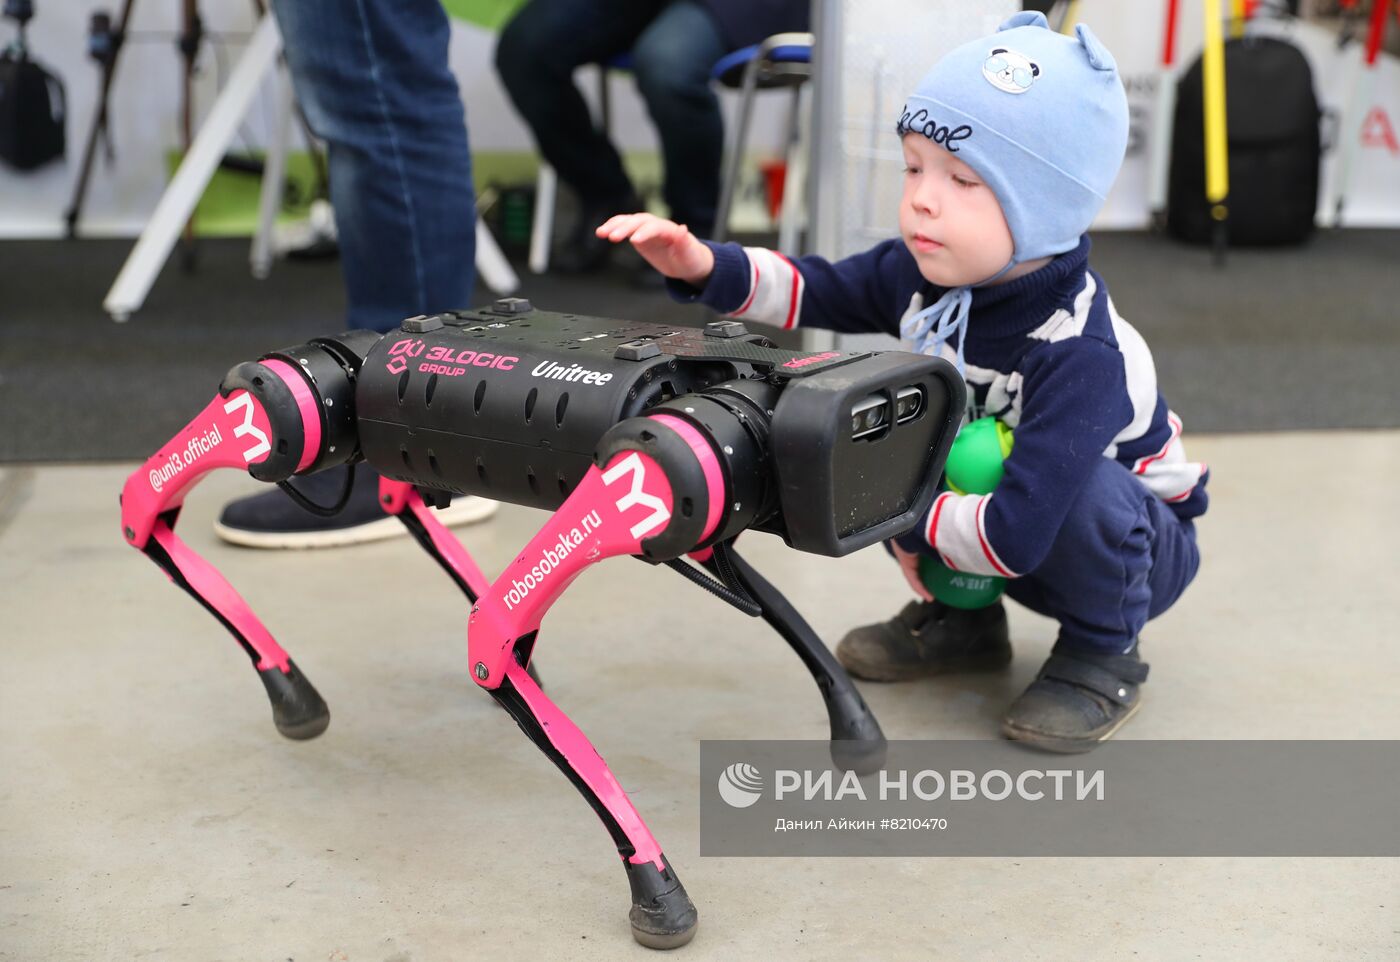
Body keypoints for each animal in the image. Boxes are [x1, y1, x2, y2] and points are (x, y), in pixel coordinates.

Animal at [120, 301, 963, 946]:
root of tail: (373, 349)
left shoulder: (684, 504)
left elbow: (498, 628)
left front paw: (856, 727)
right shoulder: (659, 472)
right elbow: (491, 638)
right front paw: (657, 891)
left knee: (385, 496)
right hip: (289, 412)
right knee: (153, 495)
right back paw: (287, 685)